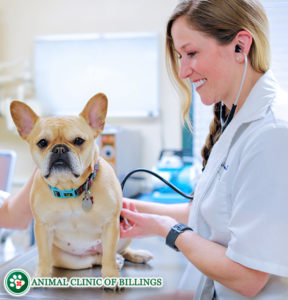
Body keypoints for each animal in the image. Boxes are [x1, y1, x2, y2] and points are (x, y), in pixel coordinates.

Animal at [9, 94, 152, 278]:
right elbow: (43, 256)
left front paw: (111, 276)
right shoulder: (42, 227)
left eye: (78, 140)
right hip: (70, 260)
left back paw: (136, 255)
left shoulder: (111, 224)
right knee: (94, 260)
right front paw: (40, 275)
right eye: (42, 143)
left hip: (125, 231)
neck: (69, 189)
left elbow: (109, 255)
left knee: (112, 253)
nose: (59, 149)